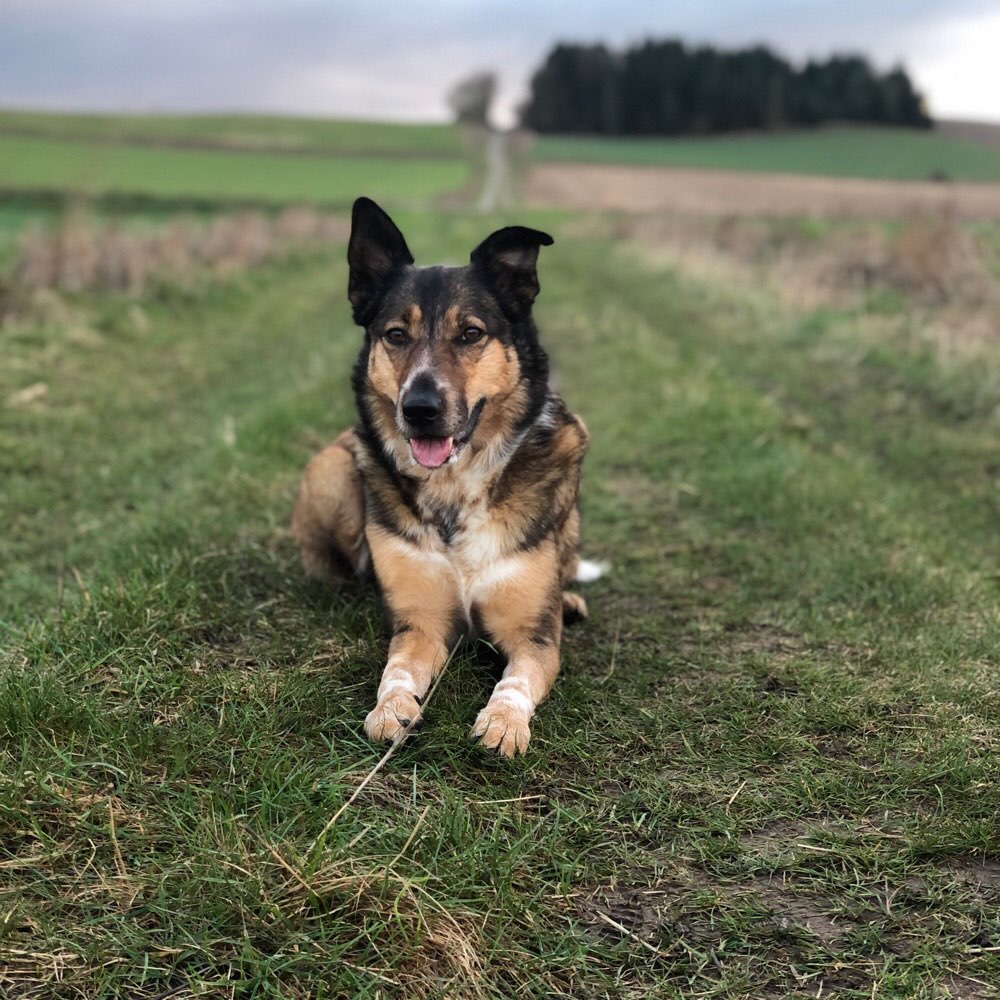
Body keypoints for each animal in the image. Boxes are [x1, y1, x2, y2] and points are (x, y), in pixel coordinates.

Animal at [292, 197, 596, 756]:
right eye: (396, 335)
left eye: (470, 333)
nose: (420, 409)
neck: (457, 488)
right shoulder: (422, 624)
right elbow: (397, 669)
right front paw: (390, 709)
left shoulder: (533, 638)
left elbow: (516, 678)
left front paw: (503, 721)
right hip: (331, 467)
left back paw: (569, 598)